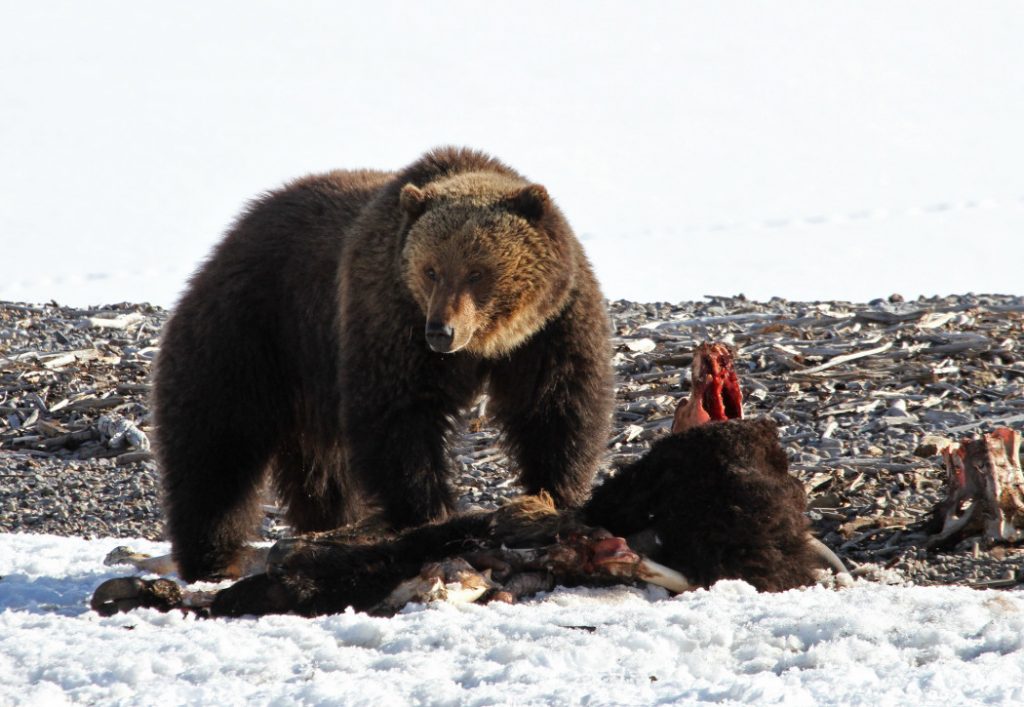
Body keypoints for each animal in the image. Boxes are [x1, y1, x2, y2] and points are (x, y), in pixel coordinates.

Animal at [153, 147, 614, 582]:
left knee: (321, 470)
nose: (441, 331)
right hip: (253, 330)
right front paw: (428, 514)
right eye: (431, 270)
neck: (489, 344)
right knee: (216, 447)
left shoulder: (552, 327)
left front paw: (553, 497)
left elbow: (556, 407)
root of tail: (233, 233)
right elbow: (398, 416)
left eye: (477, 272)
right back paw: (212, 557)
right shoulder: (390, 316)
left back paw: (327, 524)